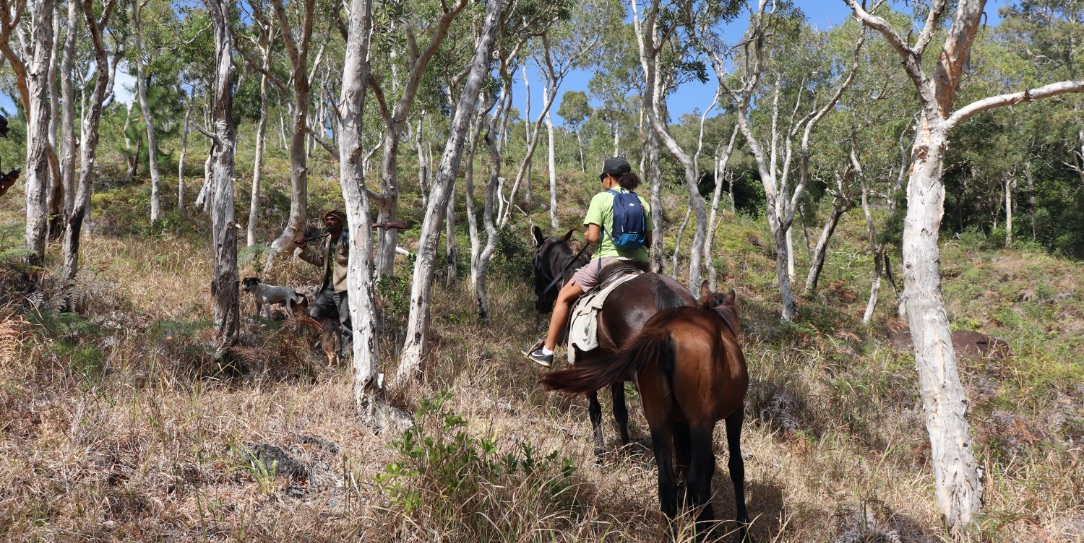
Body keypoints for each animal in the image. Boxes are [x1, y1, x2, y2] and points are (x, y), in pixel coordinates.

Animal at [531, 226, 698, 455]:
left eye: (534, 261)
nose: (540, 304)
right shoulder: (615, 371)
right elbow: (620, 411)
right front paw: (627, 448)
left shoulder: (584, 365)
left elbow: (595, 409)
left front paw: (599, 452)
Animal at [542, 286, 754, 539]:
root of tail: (665, 333)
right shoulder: (734, 413)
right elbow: (735, 467)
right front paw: (741, 529)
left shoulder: (679, 422)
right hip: (700, 423)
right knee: (693, 480)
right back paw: (699, 531)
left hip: (660, 421)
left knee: (667, 483)